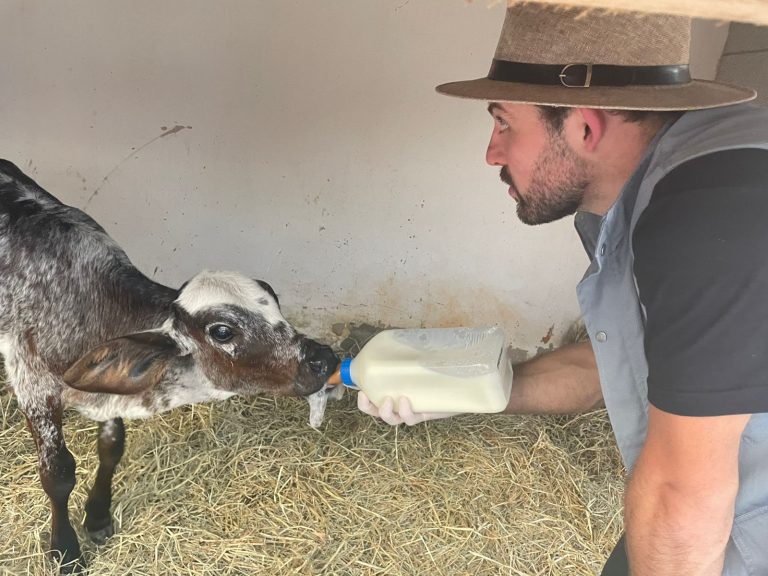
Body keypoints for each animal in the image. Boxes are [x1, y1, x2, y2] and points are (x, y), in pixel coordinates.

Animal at [0, 160, 340, 572]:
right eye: (222, 330)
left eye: (275, 300)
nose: (324, 359)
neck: (88, 302)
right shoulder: (33, 384)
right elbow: (58, 473)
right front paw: (65, 551)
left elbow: (111, 446)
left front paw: (97, 517)